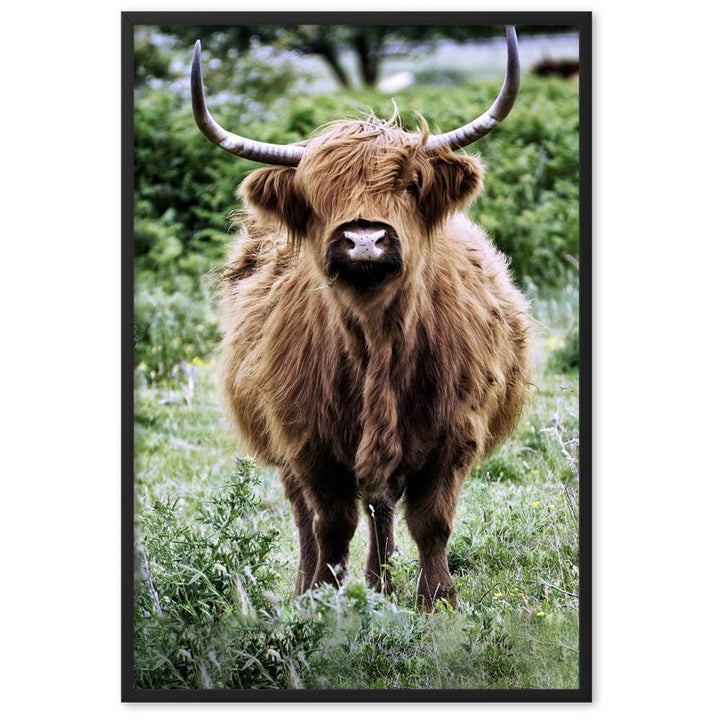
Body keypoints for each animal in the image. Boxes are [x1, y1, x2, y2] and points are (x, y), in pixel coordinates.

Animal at [191, 27, 532, 610]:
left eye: (412, 184)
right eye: (315, 194)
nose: (365, 239)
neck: (378, 339)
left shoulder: (456, 435)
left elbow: (431, 522)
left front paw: (437, 602)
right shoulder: (307, 441)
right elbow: (330, 523)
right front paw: (322, 601)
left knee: (381, 504)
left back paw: (381, 582)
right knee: (311, 516)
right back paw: (319, 586)